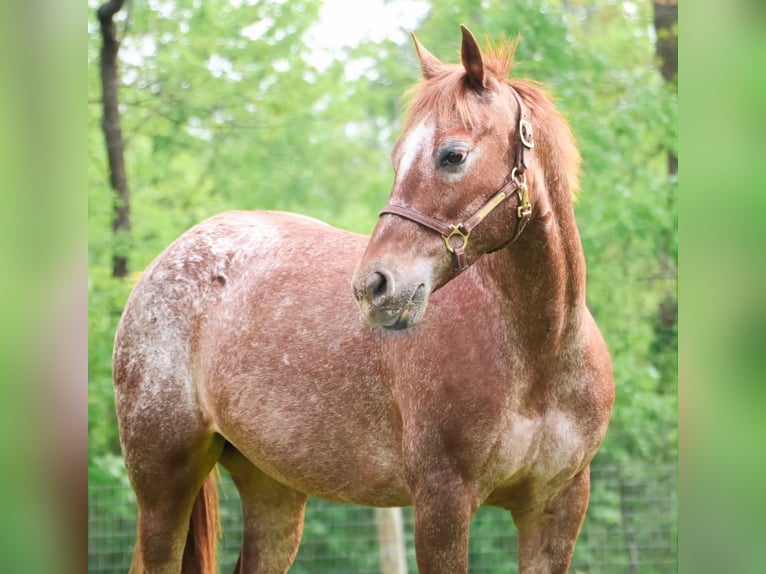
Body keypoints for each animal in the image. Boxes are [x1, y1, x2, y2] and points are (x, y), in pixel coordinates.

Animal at [113, 25, 614, 574]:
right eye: (396, 159)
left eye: (453, 155)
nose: (374, 285)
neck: (539, 354)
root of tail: (165, 261)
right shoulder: (442, 503)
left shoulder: (557, 509)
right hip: (164, 483)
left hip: (272, 491)